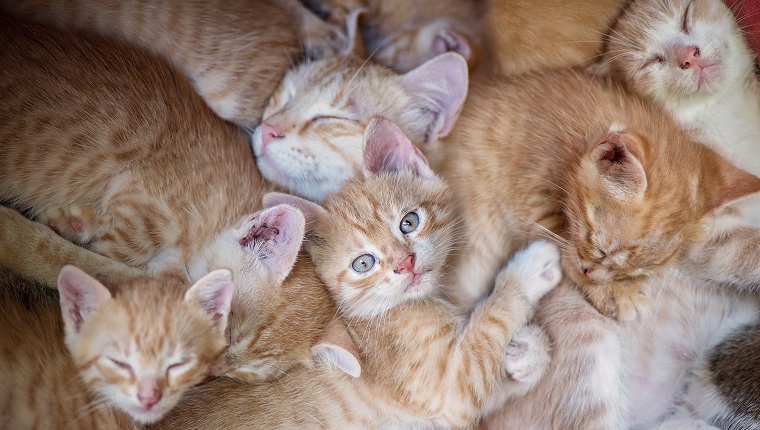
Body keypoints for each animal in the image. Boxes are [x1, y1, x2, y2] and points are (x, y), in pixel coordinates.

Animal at [153, 117, 564, 430]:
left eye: (409, 222)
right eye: (363, 263)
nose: (405, 263)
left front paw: (525, 353)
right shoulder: (449, 388)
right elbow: (489, 328)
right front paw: (533, 268)